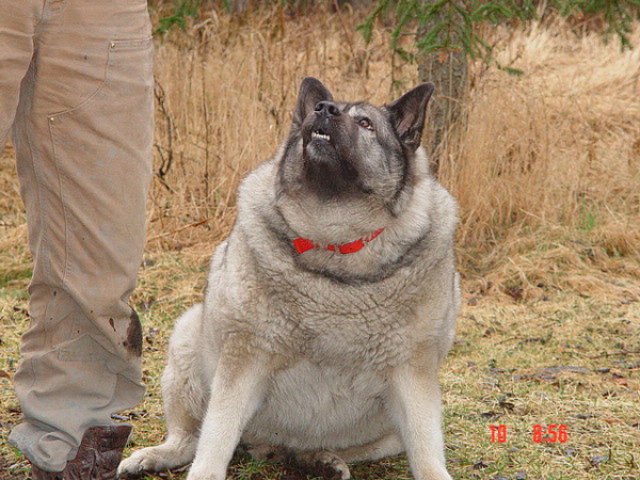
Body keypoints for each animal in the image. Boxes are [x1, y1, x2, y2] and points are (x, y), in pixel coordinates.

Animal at [119, 77, 460, 478]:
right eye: (323, 108)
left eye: (365, 123)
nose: (324, 109)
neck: (335, 241)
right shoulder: (244, 360)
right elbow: (216, 437)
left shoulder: (412, 374)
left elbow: (425, 447)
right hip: (189, 341)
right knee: (189, 438)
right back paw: (154, 456)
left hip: (384, 435)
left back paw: (321, 460)